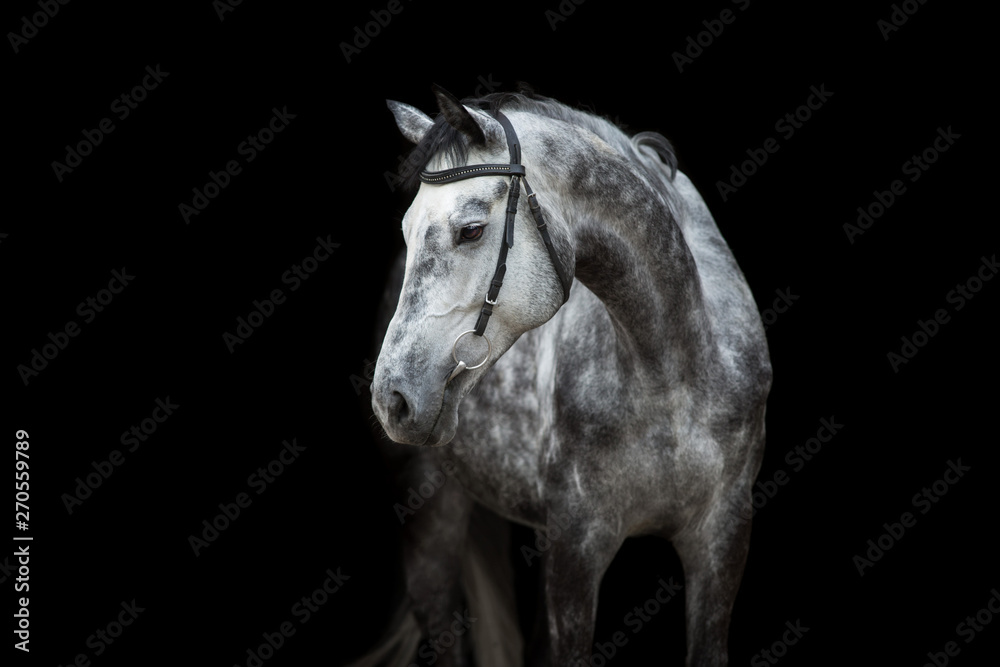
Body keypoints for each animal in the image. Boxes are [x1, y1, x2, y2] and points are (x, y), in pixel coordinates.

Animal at [355, 85, 771, 667]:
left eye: (470, 230)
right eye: (407, 231)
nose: (391, 399)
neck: (672, 375)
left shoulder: (723, 540)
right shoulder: (577, 545)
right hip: (430, 522)